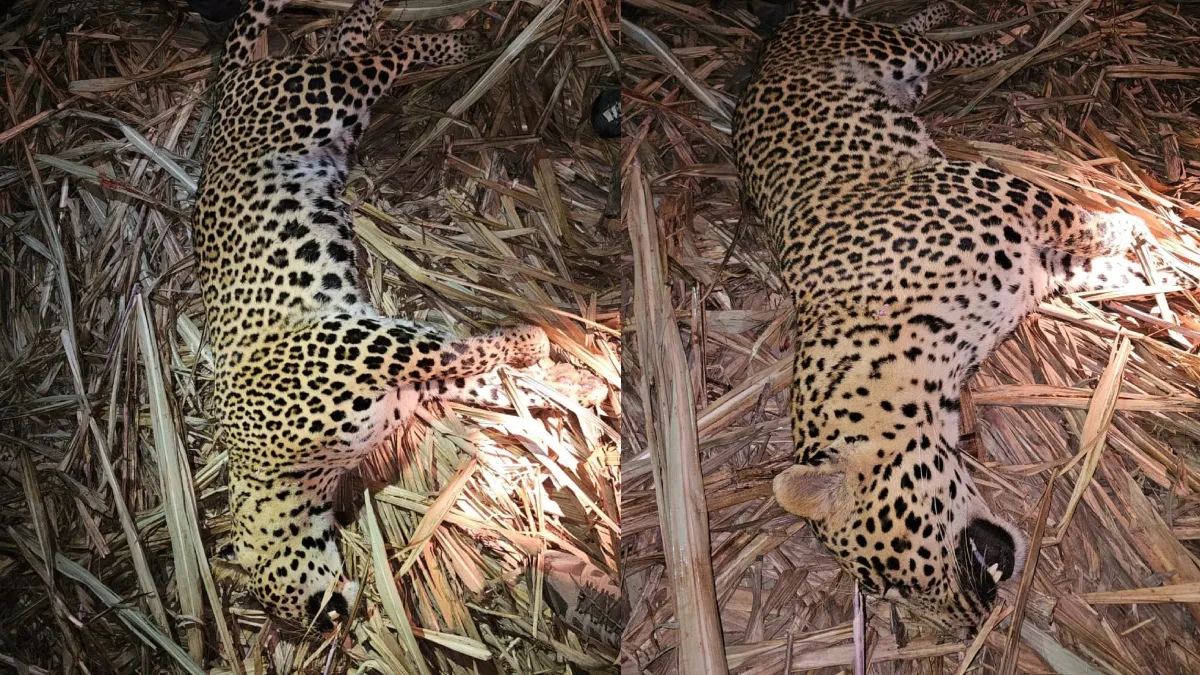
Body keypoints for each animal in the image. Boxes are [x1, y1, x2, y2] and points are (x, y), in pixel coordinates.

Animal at [195, 0, 576, 631]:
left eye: (290, 603)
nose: (335, 622)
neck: (287, 477)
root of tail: (225, 93)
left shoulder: (360, 343)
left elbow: (460, 349)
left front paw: (532, 343)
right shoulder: (400, 384)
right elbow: (473, 379)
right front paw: (553, 381)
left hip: (319, 96)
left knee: (375, 56)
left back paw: (462, 40)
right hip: (337, 118)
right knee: (347, 42)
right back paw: (381, 18)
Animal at [733, 0, 1174, 627]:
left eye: (895, 575)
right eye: (889, 591)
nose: (975, 617)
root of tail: (776, 44)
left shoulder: (1006, 193)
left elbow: (1087, 222)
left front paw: (1141, 230)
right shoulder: (1038, 266)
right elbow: (1094, 268)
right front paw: (1152, 274)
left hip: (886, 50)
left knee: (939, 46)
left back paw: (1001, 39)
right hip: (901, 74)